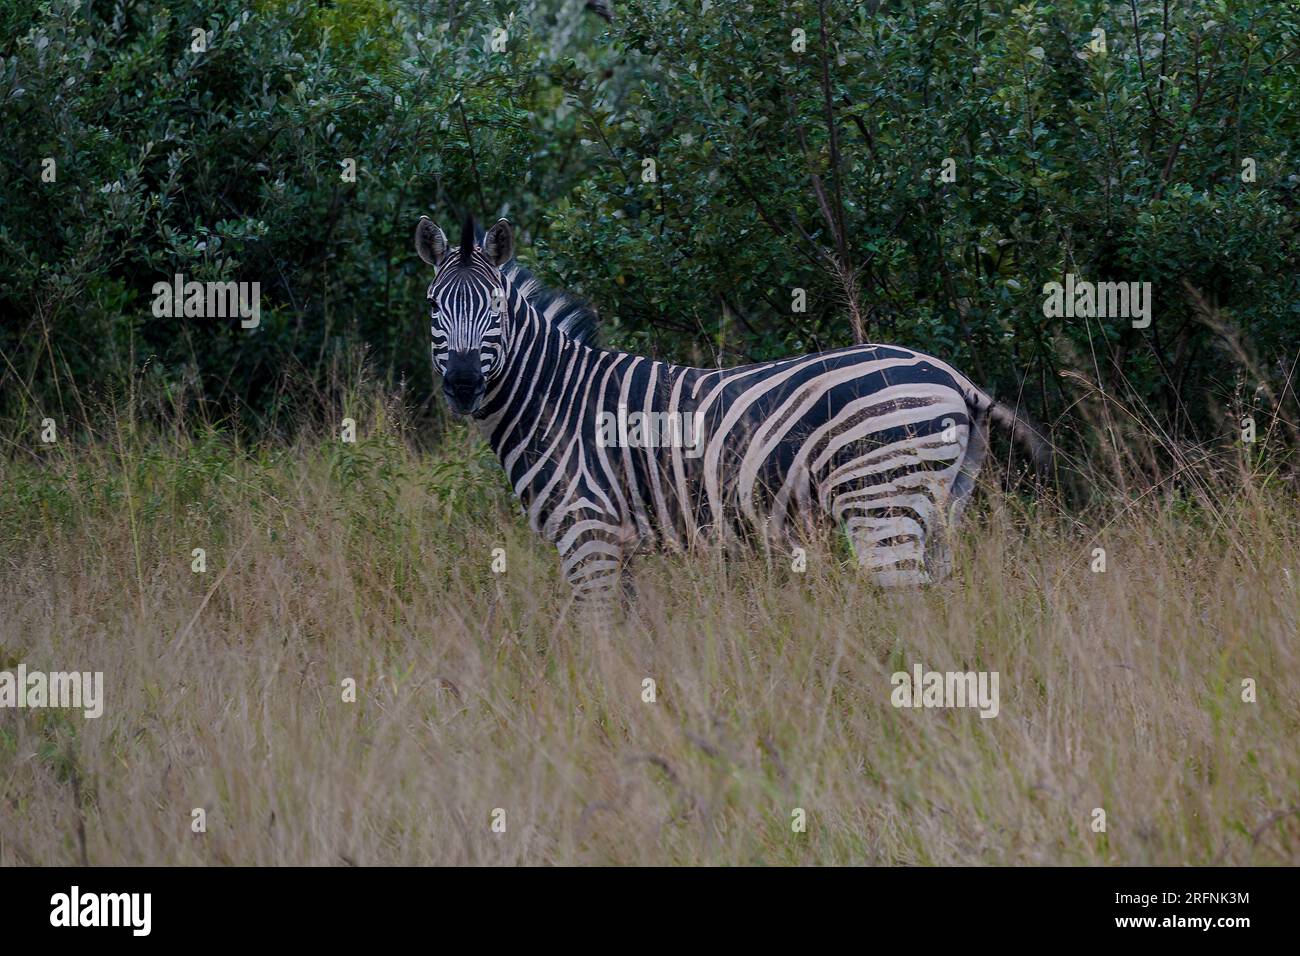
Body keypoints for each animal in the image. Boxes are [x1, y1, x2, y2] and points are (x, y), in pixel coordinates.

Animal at [415, 214, 1043, 611]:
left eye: (495, 309)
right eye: (432, 307)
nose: (464, 384)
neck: (554, 398)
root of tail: (951, 376)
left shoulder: (587, 532)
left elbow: (593, 638)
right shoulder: (616, 544)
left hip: (879, 502)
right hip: (939, 506)